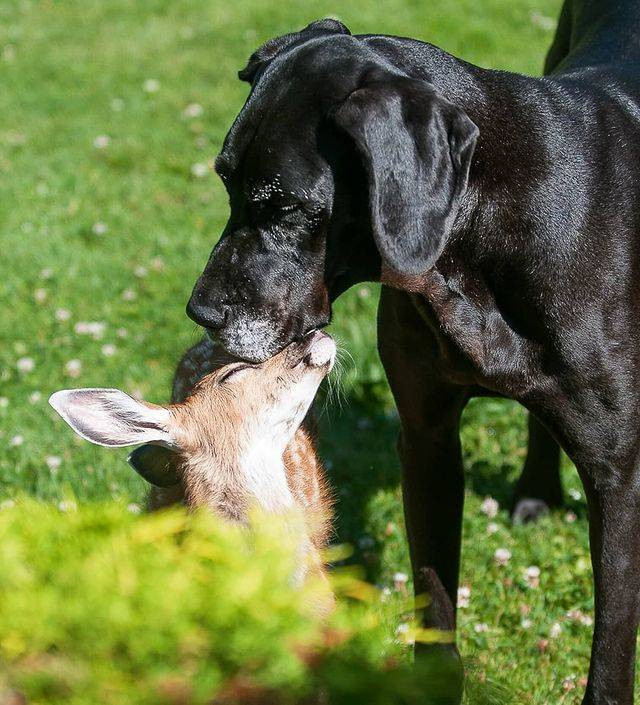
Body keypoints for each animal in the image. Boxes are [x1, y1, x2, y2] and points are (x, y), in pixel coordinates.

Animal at [188, 4, 640, 700]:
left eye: (286, 207)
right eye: (226, 183)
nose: (201, 313)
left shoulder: (619, 476)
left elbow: (612, 652)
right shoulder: (426, 439)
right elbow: (434, 595)